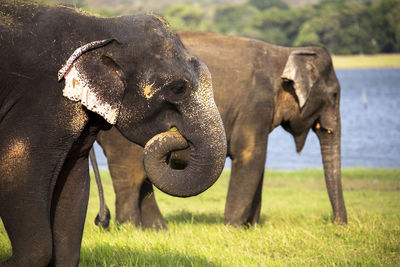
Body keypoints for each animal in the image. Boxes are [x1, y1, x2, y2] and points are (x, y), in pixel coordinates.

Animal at [0, 1, 225, 266]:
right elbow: (18, 172)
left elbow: (74, 180)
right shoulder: (41, 101)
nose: (177, 134)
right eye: (178, 88)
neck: (102, 27)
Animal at [93, 29, 346, 230]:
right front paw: (233, 228)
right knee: (131, 177)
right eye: (334, 95)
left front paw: (251, 228)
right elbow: (251, 157)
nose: (337, 224)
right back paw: (130, 229)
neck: (284, 53)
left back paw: (158, 231)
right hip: (118, 135)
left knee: (144, 177)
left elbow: (259, 164)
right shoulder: (254, 107)